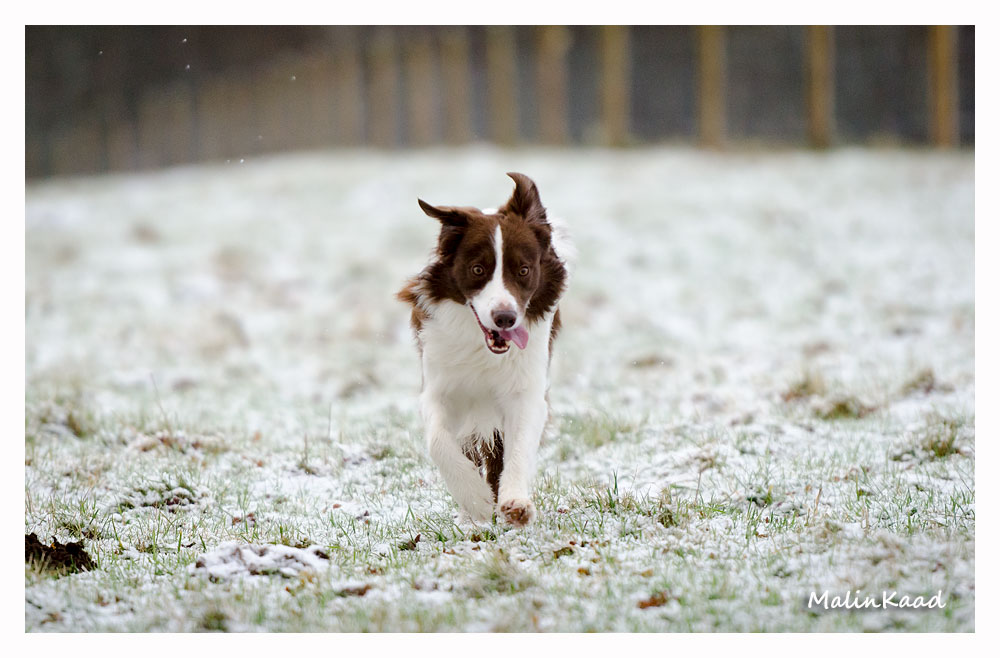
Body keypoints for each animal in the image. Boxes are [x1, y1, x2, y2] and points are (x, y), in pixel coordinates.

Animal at [397, 173, 572, 526]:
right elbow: (439, 441)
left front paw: (515, 502)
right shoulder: (441, 388)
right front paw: (475, 501)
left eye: (523, 270)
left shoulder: (525, 390)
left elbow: (518, 446)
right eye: (478, 269)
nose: (505, 318)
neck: (483, 350)